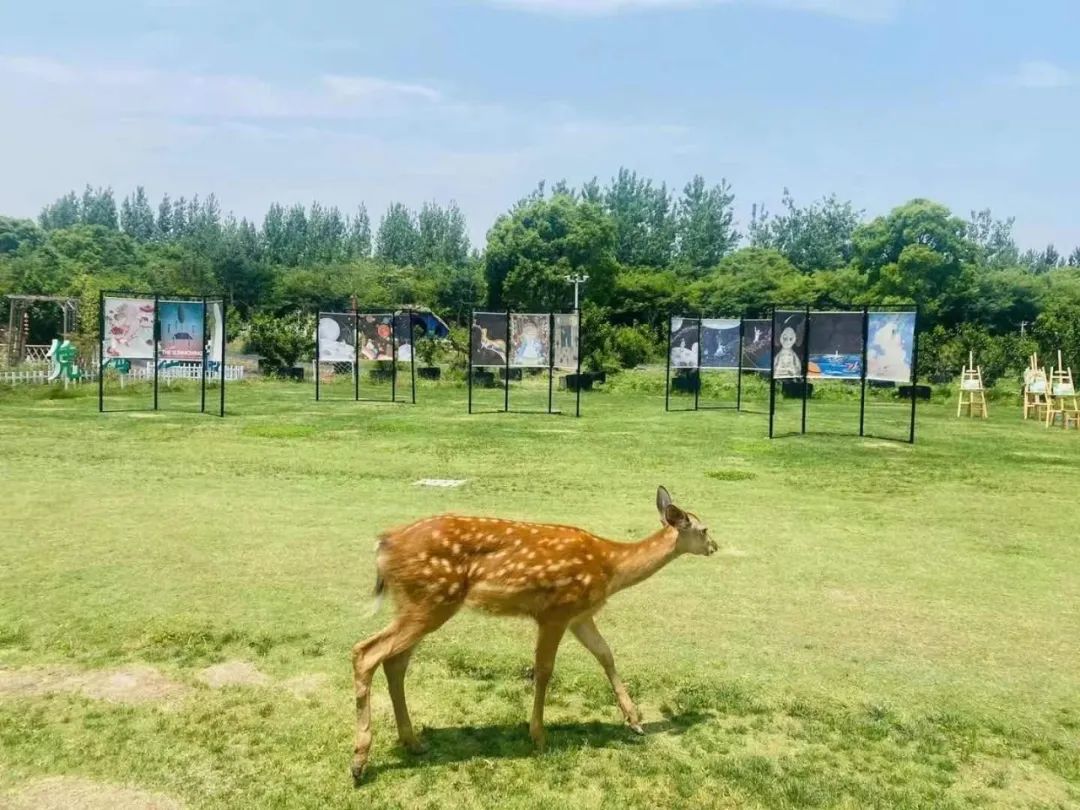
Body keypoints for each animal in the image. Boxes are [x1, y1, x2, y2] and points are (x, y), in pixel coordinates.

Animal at [347, 486, 717, 781]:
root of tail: (383, 544)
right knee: (366, 652)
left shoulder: (581, 616)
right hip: (430, 600)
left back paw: (412, 742)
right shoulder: (556, 611)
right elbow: (543, 670)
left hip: (417, 604)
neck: (610, 568)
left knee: (395, 662)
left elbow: (606, 654)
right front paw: (538, 736)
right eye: (704, 528)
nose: (715, 545)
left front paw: (635, 720)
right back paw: (360, 761)